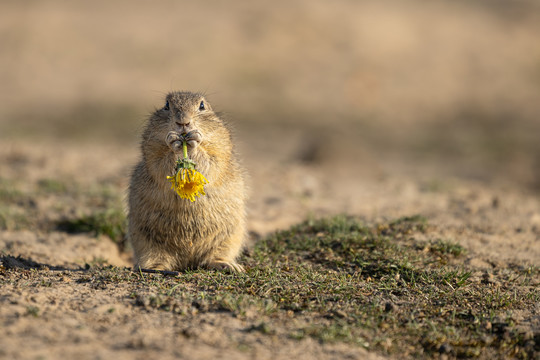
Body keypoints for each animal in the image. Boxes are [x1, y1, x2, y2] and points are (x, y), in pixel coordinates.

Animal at [130, 91, 248, 272]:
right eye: (166, 105)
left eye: (202, 105)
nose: (183, 122)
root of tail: (188, 261)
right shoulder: (150, 148)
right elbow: (159, 162)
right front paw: (173, 141)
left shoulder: (221, 146)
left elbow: (213, 159)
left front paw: (194, 140)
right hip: (144, 240)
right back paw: (156, 267)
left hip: (230, 236)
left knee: (212, 258)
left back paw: (228, 265)